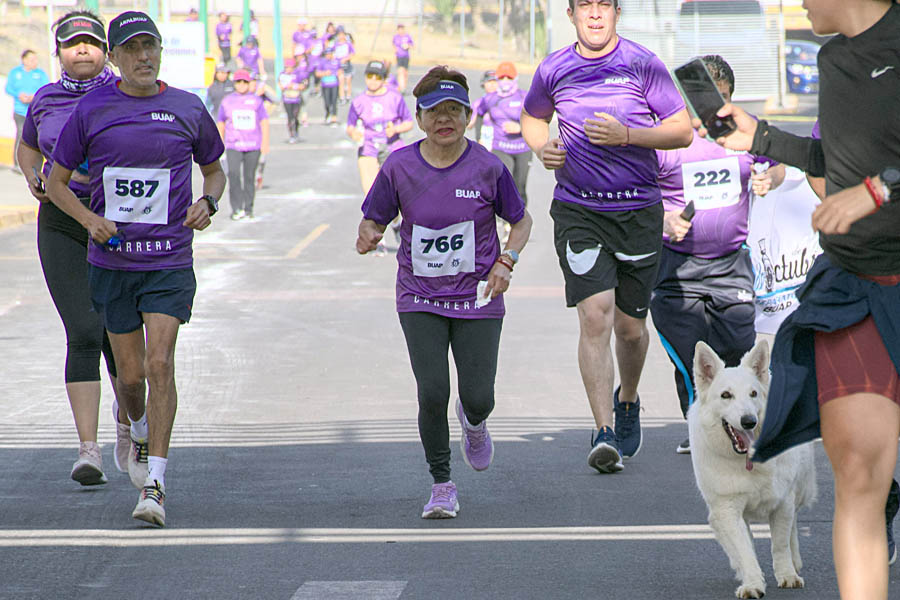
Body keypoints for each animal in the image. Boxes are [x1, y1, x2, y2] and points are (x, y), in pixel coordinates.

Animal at [688, 340, 816, 596]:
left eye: (753, 394)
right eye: (726, 395)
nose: (749, 421)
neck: (747, 460)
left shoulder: (783, 502)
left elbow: (780, 544)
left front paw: (787, 575)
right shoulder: (727, 509)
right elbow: (744, 549)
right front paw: (752, 583)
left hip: (799, 487)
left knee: (794, 525)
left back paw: (795, 561)